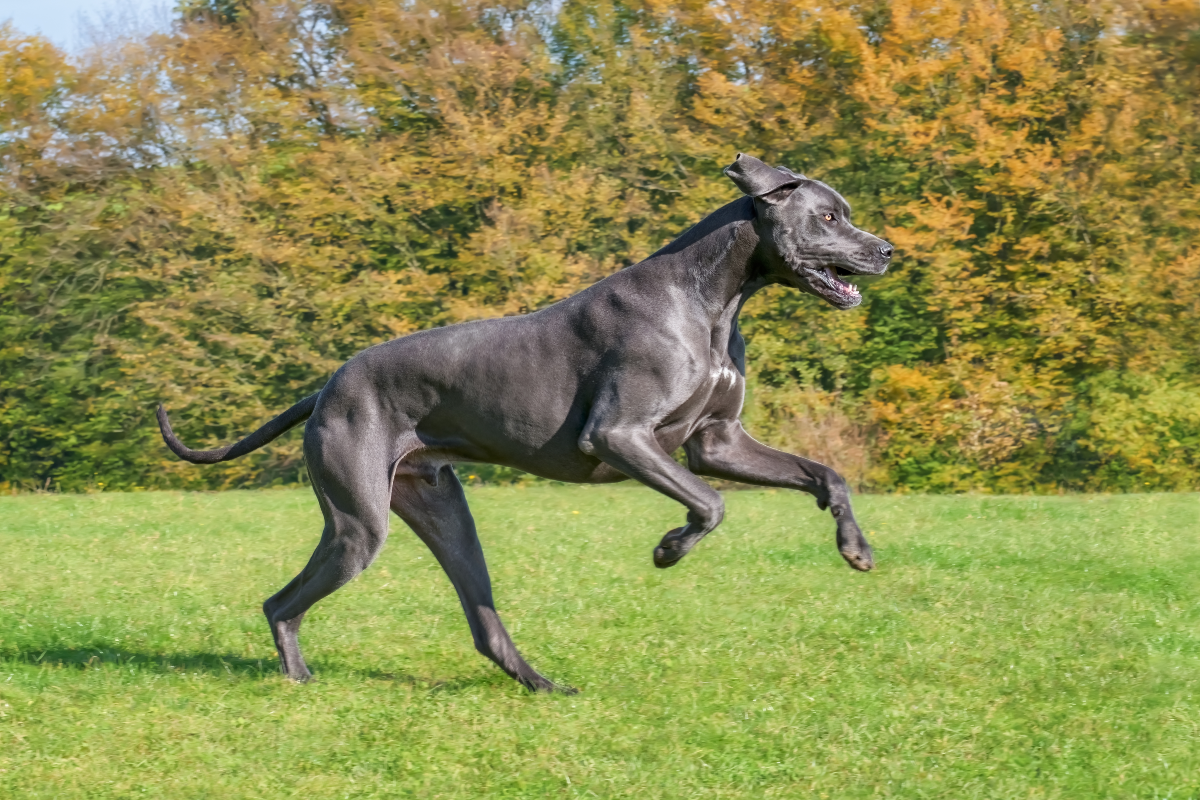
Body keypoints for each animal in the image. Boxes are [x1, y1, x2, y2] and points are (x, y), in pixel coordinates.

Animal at [157, 153, 892, 690]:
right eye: (828, 215)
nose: (887, 251)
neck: (712, 297)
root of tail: (326, 387)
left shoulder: (719, 443)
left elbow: (826, 474)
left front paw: (856, 549)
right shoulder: (621, 435)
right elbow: (711, 505)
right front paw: (668, 549)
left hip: (441, 510)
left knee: (481, 620)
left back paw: (542, 684)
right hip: (359, 524)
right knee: (280, 603)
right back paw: (301, 682)